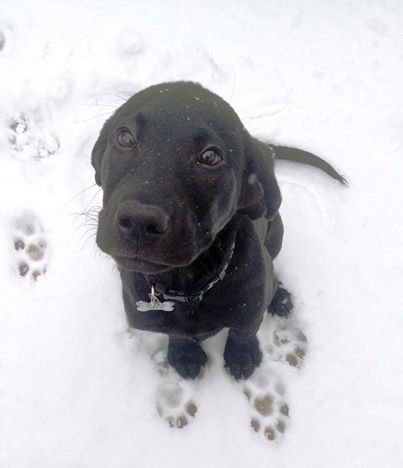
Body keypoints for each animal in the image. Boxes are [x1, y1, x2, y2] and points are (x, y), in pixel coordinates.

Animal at [92, 81, 348, 380]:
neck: (187, 289)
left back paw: (279, 296)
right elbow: (175, 332)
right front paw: (185, 354)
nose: (139, 221)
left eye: (210, 156)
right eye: (125, 137)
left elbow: (244, 329)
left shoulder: (249, 311)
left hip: (276, 233)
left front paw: (242, 355)